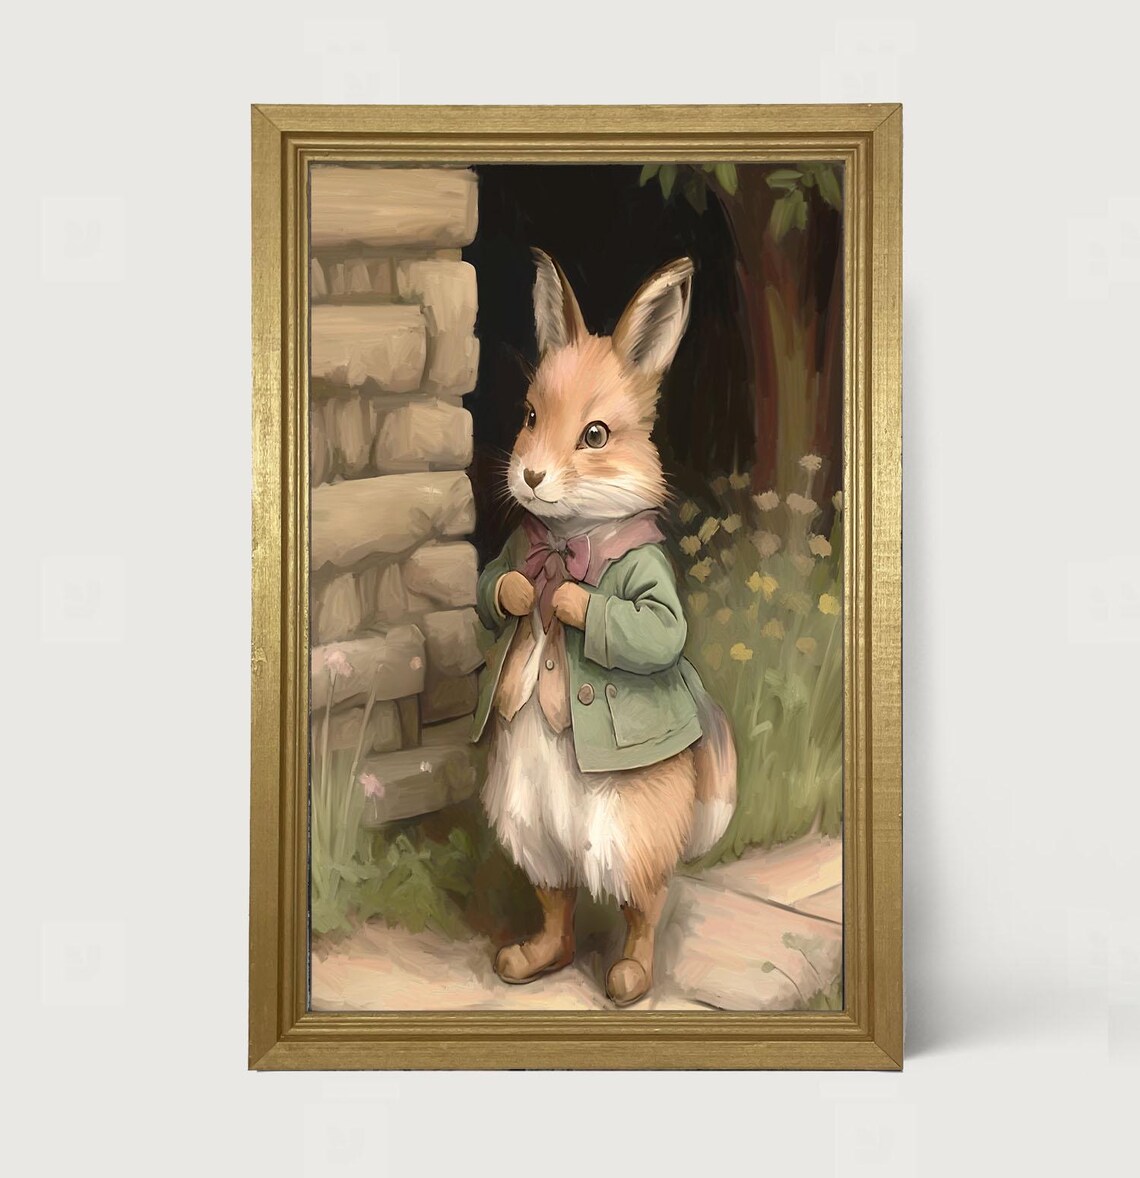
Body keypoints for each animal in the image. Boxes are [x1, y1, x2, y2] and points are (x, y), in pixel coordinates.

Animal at [471, 249, 737, 1006]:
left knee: (644, 902)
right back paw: (528, 961)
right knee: (556, 897)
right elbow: (492, 589)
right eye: (530, 414)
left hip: (627, 833)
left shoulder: (650, 590)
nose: (531, 476)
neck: (569, 537)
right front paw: (520, 591)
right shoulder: (512, 557)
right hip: (526, 823)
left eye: (596, 436)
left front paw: (565, 601)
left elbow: (654, 629)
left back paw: (628, 981)